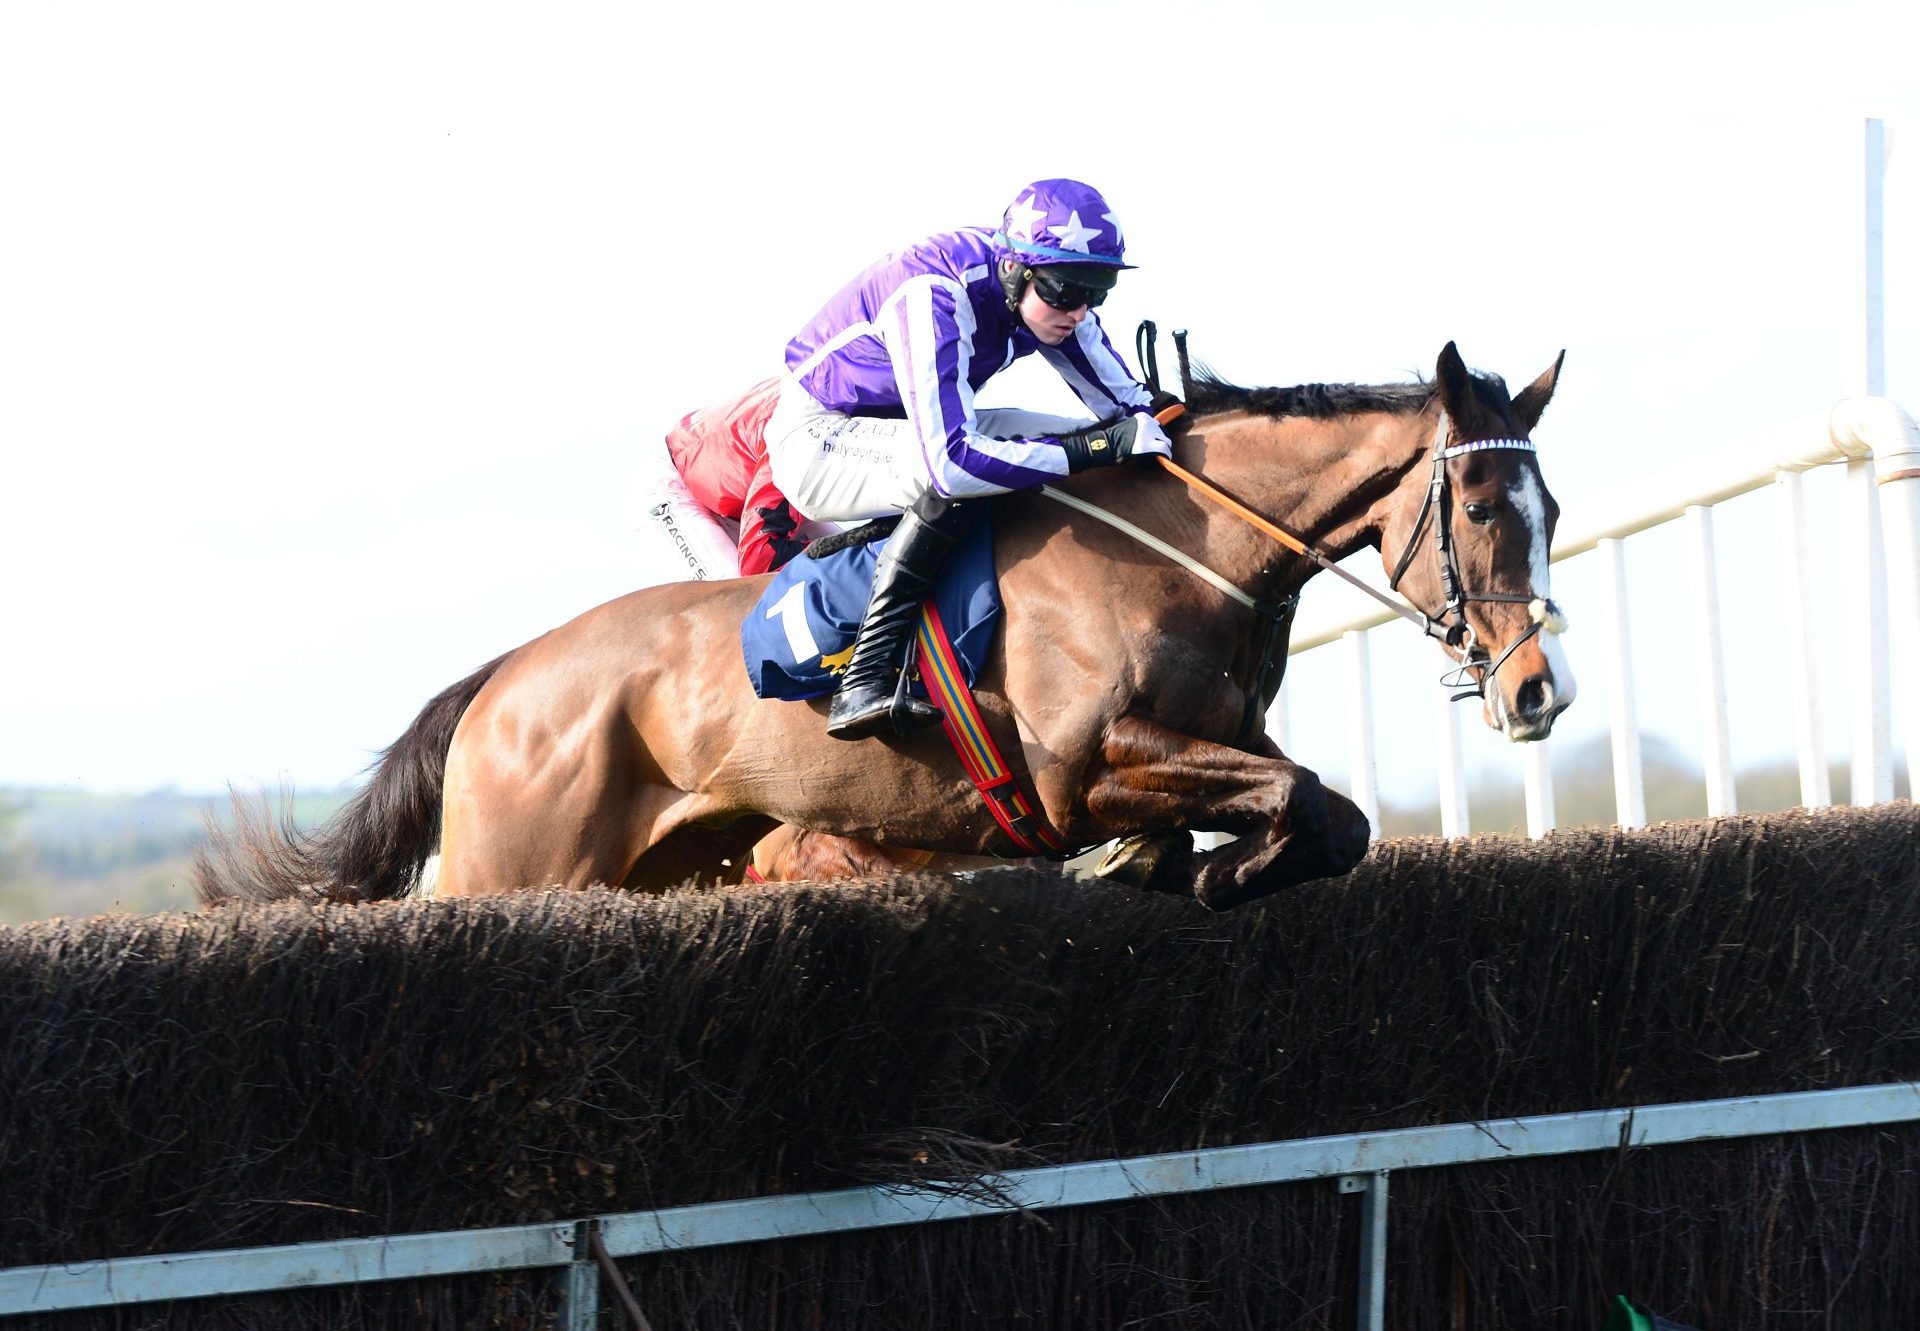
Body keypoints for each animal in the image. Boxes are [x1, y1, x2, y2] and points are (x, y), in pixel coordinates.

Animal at [194, 339, 1574, 914]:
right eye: (1478, 504)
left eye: (1552, 505)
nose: (1537, 690)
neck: (1184, 553)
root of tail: (502, 680)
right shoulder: (1084, 766)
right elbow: (1300, 803)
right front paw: (1211, 869)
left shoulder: (1205, 747)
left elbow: (1325, 813)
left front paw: (1190, 865)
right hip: (518, 861)